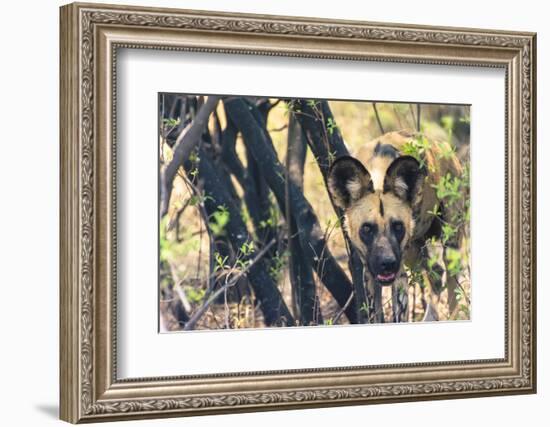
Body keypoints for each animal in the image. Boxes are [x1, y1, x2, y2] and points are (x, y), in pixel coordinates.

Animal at [330, 130, 468, 324]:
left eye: (397, 226)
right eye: (367, 229)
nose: (387, 263)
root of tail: (445, 147)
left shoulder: (399, 276)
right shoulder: (370, 273)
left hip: (449, 243)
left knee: (451, 284)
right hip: (413, 252)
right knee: (436, 273)